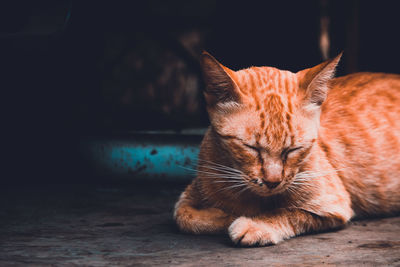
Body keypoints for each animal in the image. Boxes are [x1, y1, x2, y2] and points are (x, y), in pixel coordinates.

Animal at [174, 51, 400, 247]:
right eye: (252, 148)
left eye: (292, 150)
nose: (273, 182)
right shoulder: (191, 192)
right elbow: (183, 216)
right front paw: (225, 216)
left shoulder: (334, 204)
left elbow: (289, 212)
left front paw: (254, 223)